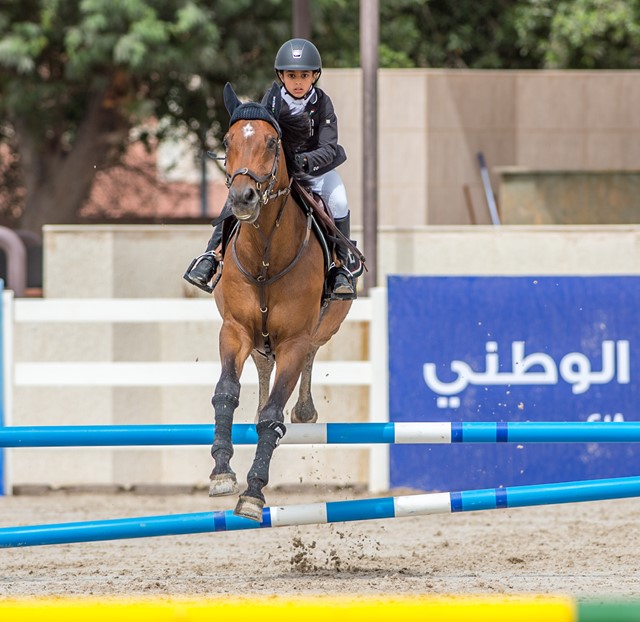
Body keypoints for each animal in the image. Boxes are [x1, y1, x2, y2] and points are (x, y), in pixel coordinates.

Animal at [208, 82, 354, 521]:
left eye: (273, 143)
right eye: (227, 141)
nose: (242, 198)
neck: (265, 254)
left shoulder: (293, 340)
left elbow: (273, 416)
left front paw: (253, 493)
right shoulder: (234, 330)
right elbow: (226, 392)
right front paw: (222, 471)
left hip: (320, 328)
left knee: (309, 356)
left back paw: (304, 411)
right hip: (259, 339)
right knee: (261, 365)